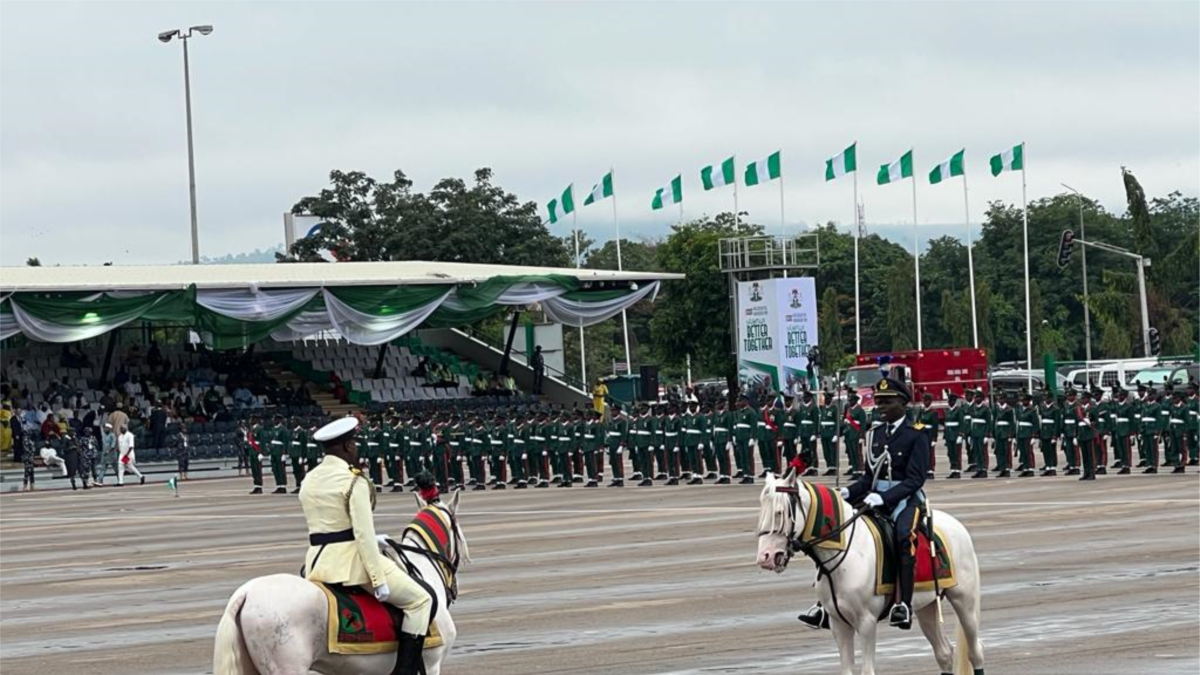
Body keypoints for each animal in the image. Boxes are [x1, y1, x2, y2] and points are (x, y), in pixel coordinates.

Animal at [758, 468, 984, 672]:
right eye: (762, 511)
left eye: (780, 512)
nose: (766, 557)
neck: (846, 556)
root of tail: (956, 525)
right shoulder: (838, 623)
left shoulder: (866, 622)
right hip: (926, 607)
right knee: (944, 654)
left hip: (964, 600)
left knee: (975, 652)